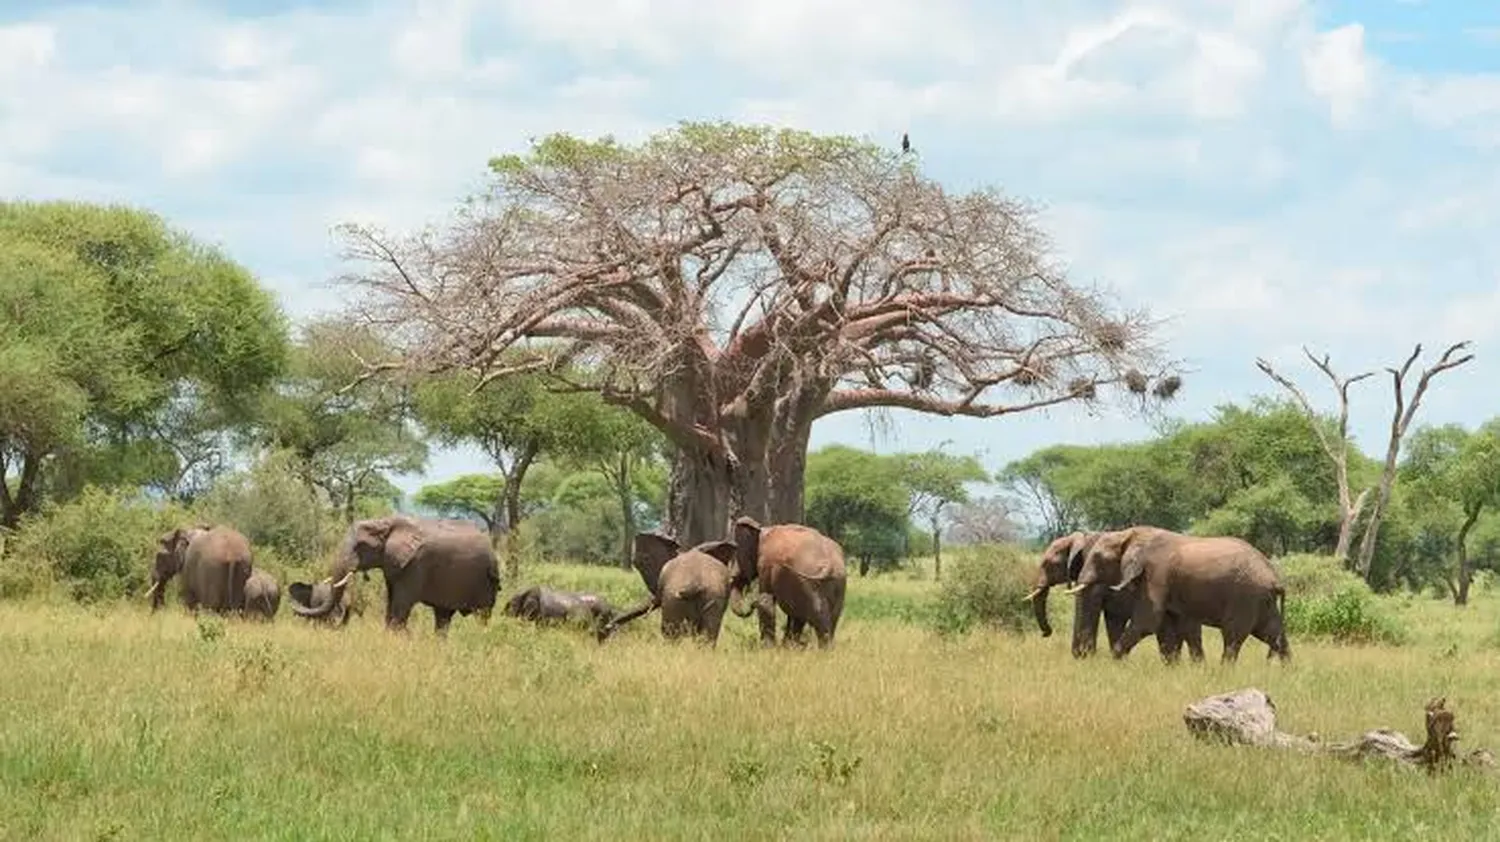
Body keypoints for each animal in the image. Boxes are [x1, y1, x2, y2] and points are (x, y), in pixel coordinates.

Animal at [289, 515, 500, 635]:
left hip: (486, 580)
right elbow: (391, 603)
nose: (293, 586)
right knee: (443, 616)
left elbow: (401, 604)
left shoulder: (416, 564)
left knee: (482, 615)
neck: (386, 522)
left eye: (360, 546)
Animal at [597, 532, 739, 646]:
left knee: (670, 635)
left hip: (674, 601)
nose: (607, 629)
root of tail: (695, 583)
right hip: (711, 598)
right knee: (707, 637)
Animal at [727, 517, 847, 649]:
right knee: (828, 618)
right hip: (837, 583)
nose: (751, 604)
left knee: (814, 615)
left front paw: (769, 648)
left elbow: (765, 601)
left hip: (808, 583)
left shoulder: (765, 565)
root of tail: (828, 566)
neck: (762, 530)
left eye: (737, 555)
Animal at [1025, 530, 1206, 663]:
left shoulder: (1096, 579)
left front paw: (1085, 657)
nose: (1046, 633)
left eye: (1048, 564)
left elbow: (1088, 607)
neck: (1081, 537)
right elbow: (1113, 619)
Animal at [1069, 525, 1291, 663]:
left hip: (1246, 597)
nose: (1082, 657)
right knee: (1272, 633)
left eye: (1098, 558)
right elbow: (1166, 625)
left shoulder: (1156, 574)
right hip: (1262, 601)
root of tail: (1275, 578)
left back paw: (1223, 672)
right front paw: (1172, 667)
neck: (1130, 534)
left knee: (1233, 636)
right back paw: (1286, 671)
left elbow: (1147, 621)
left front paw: (1113, 661)